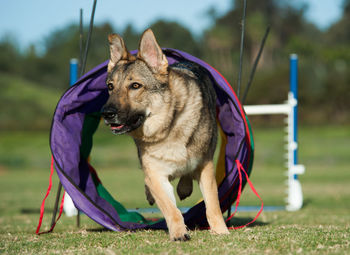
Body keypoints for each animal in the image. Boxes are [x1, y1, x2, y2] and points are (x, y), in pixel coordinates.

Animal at [101, 28, 230, 240]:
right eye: (110, 87)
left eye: (135, 86)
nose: (106, 113)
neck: (167, 126)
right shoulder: (156, 174)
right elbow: (171, 209)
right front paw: (179, 233)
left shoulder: (206, 166)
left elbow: (212, 205)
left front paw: (221, 231)